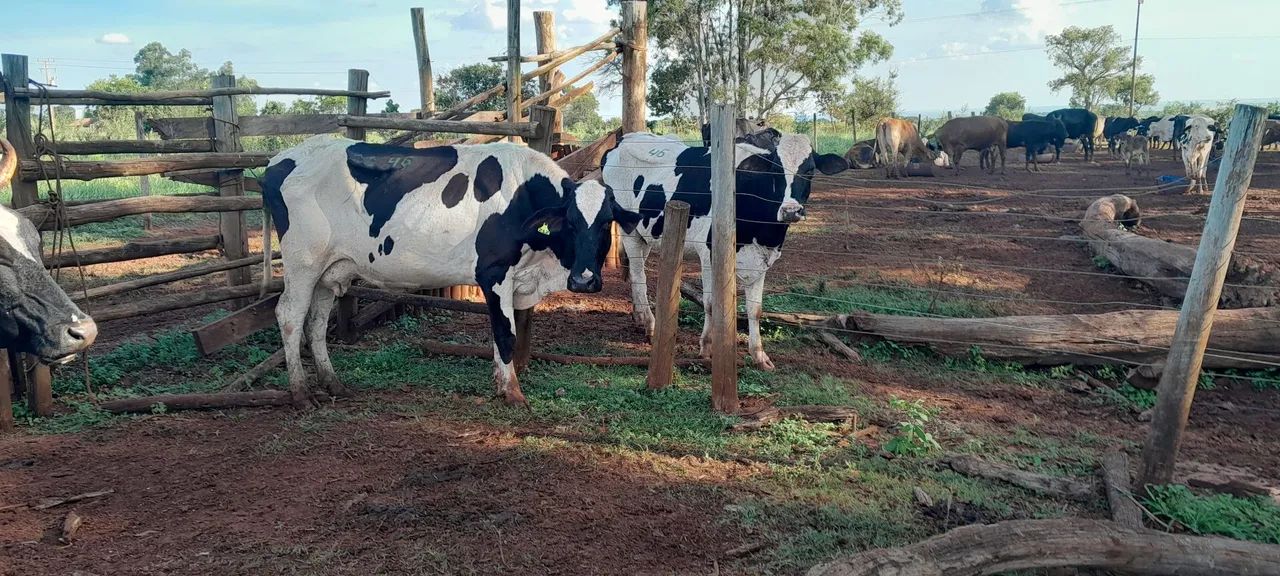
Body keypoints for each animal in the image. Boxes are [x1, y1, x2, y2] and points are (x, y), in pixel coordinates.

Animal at [259, 135, 641, 407]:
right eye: (571, 222)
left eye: (605, 223)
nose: (584, 280)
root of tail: (278, 160)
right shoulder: (494, 273)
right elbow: (505, 334)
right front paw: (512, 392)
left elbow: (498, 335)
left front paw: (500, 381)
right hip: (302, 264)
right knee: (290, 316)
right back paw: (300, 394)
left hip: (329, 271)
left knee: (316, 323)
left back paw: (333, 383)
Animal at [601, 132, 848, 370]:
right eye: (776, 170)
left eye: (810, 170)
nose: (790, 211)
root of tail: (626, 138)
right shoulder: (708, 255)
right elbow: (711, 303)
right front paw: (707, 346)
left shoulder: (761, 259)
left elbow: (755, 309)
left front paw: (759, 356)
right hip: (630, 230)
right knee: (639, 275)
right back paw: (650, 324)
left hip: (646, 235)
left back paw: (639, 317)